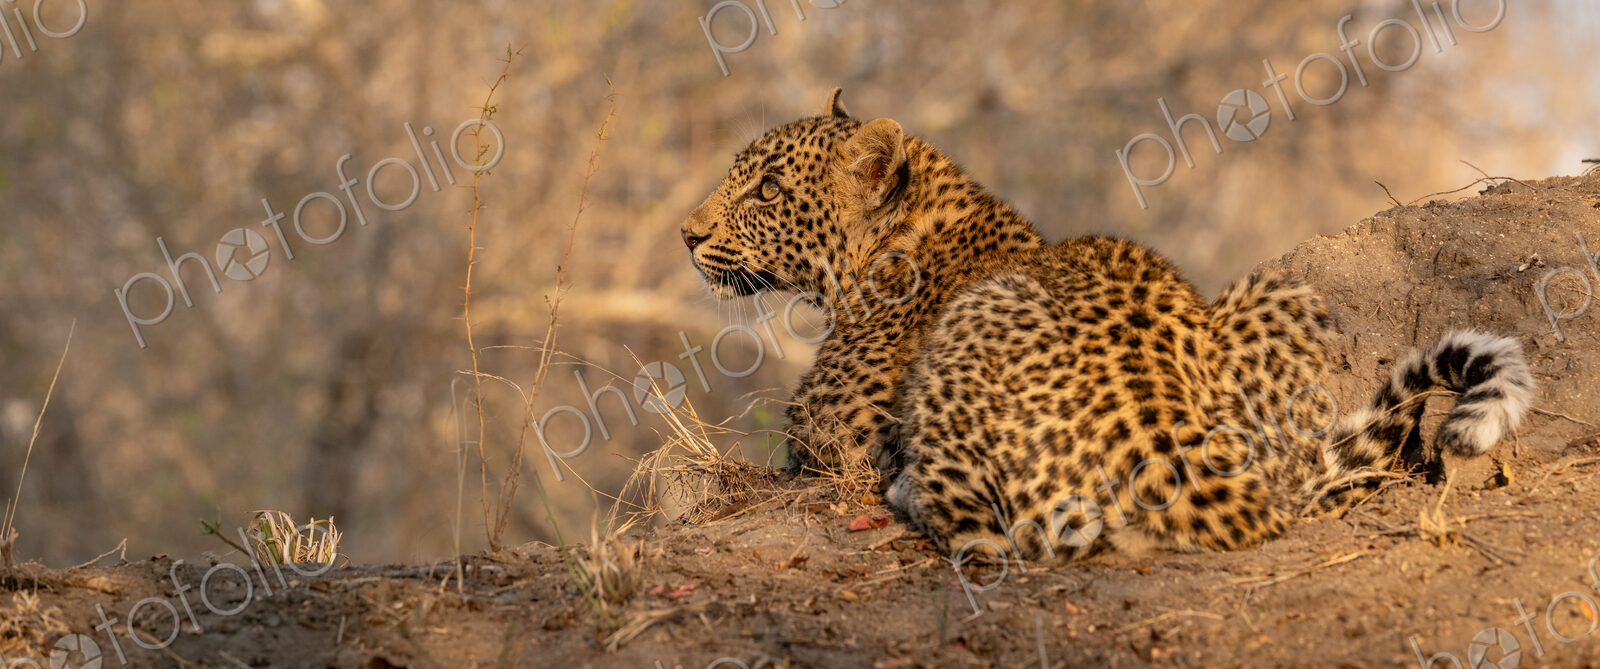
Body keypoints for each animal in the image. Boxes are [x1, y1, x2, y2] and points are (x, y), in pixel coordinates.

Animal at [680, 89, 1534, 561]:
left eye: (765, 190)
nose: (687, 235)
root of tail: (1174, 446)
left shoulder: (825, 434)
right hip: (1278, 297)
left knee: (992, 532)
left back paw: (911, 494)